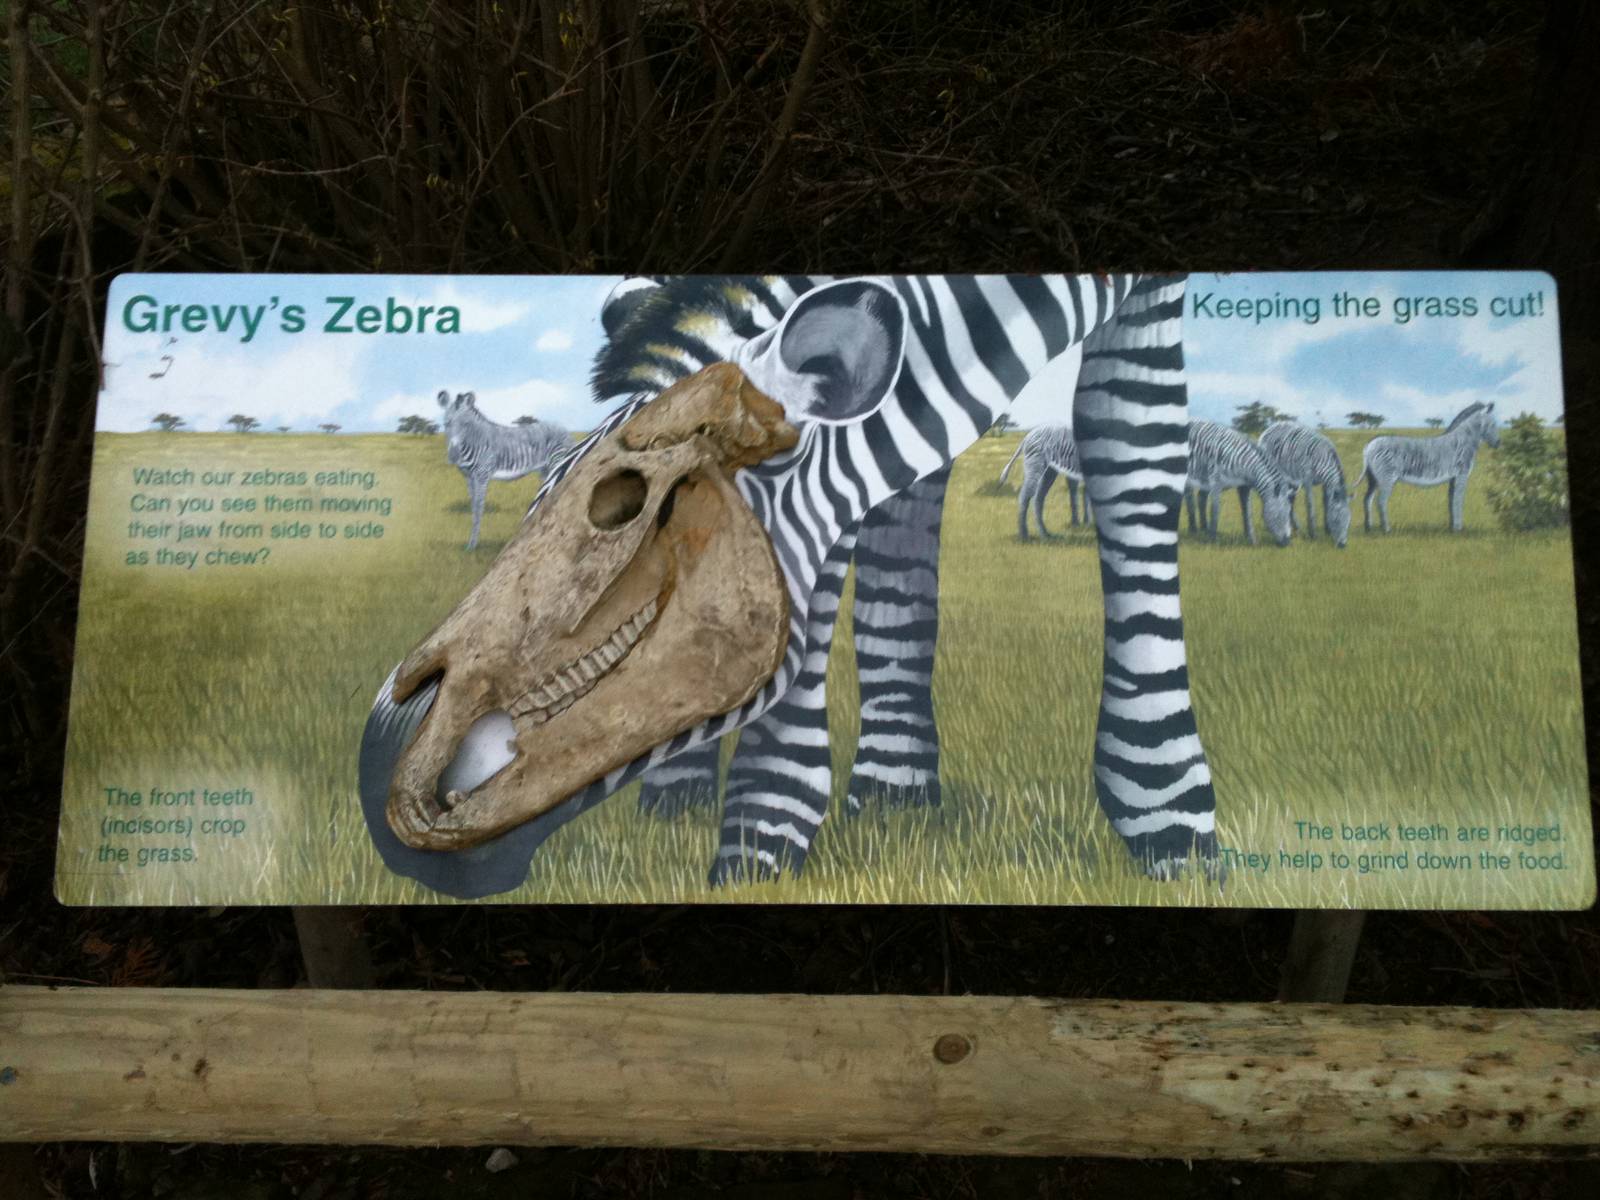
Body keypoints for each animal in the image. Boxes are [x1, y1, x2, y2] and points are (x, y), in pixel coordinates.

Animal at [438, 390, 571, 550]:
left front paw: (473, 545)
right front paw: (471, 543)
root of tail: (564, 429)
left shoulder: (482, 475)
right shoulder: (468, 478)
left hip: (557, 460)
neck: (474, 441)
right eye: (446, 424)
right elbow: (473, 507)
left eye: (466, 425)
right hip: (545, 470)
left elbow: (479, 508)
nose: (454, 455)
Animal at [1360, 401, 1499, 533]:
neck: (1464, 442)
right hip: (1387, 478)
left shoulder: (1453, 477)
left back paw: (1368, 528)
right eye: (1492, 424)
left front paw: (1452, 528)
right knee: (1381, 501)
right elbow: (1458, 500)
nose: (1498, 444)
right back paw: (1386, 530)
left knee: (1367, 499)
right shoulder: (1462, 474)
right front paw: (1458, 529)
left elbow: (1451, 500)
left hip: (1373, 479)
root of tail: (1369, 446)